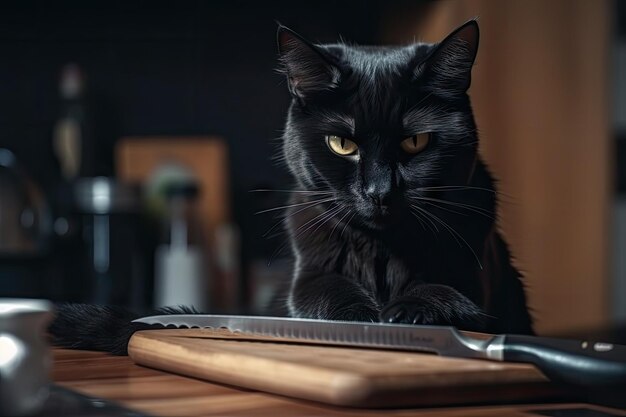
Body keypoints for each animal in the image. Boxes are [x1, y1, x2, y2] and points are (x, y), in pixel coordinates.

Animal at [51, 20, 532, 354]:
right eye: (342, 144)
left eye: (415, 142)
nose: (378, 192)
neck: (380, 249)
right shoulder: (308, 276)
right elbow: (327, 296)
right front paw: (363, 319)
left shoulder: (477, 278)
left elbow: (448, 295)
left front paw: (407, 313)